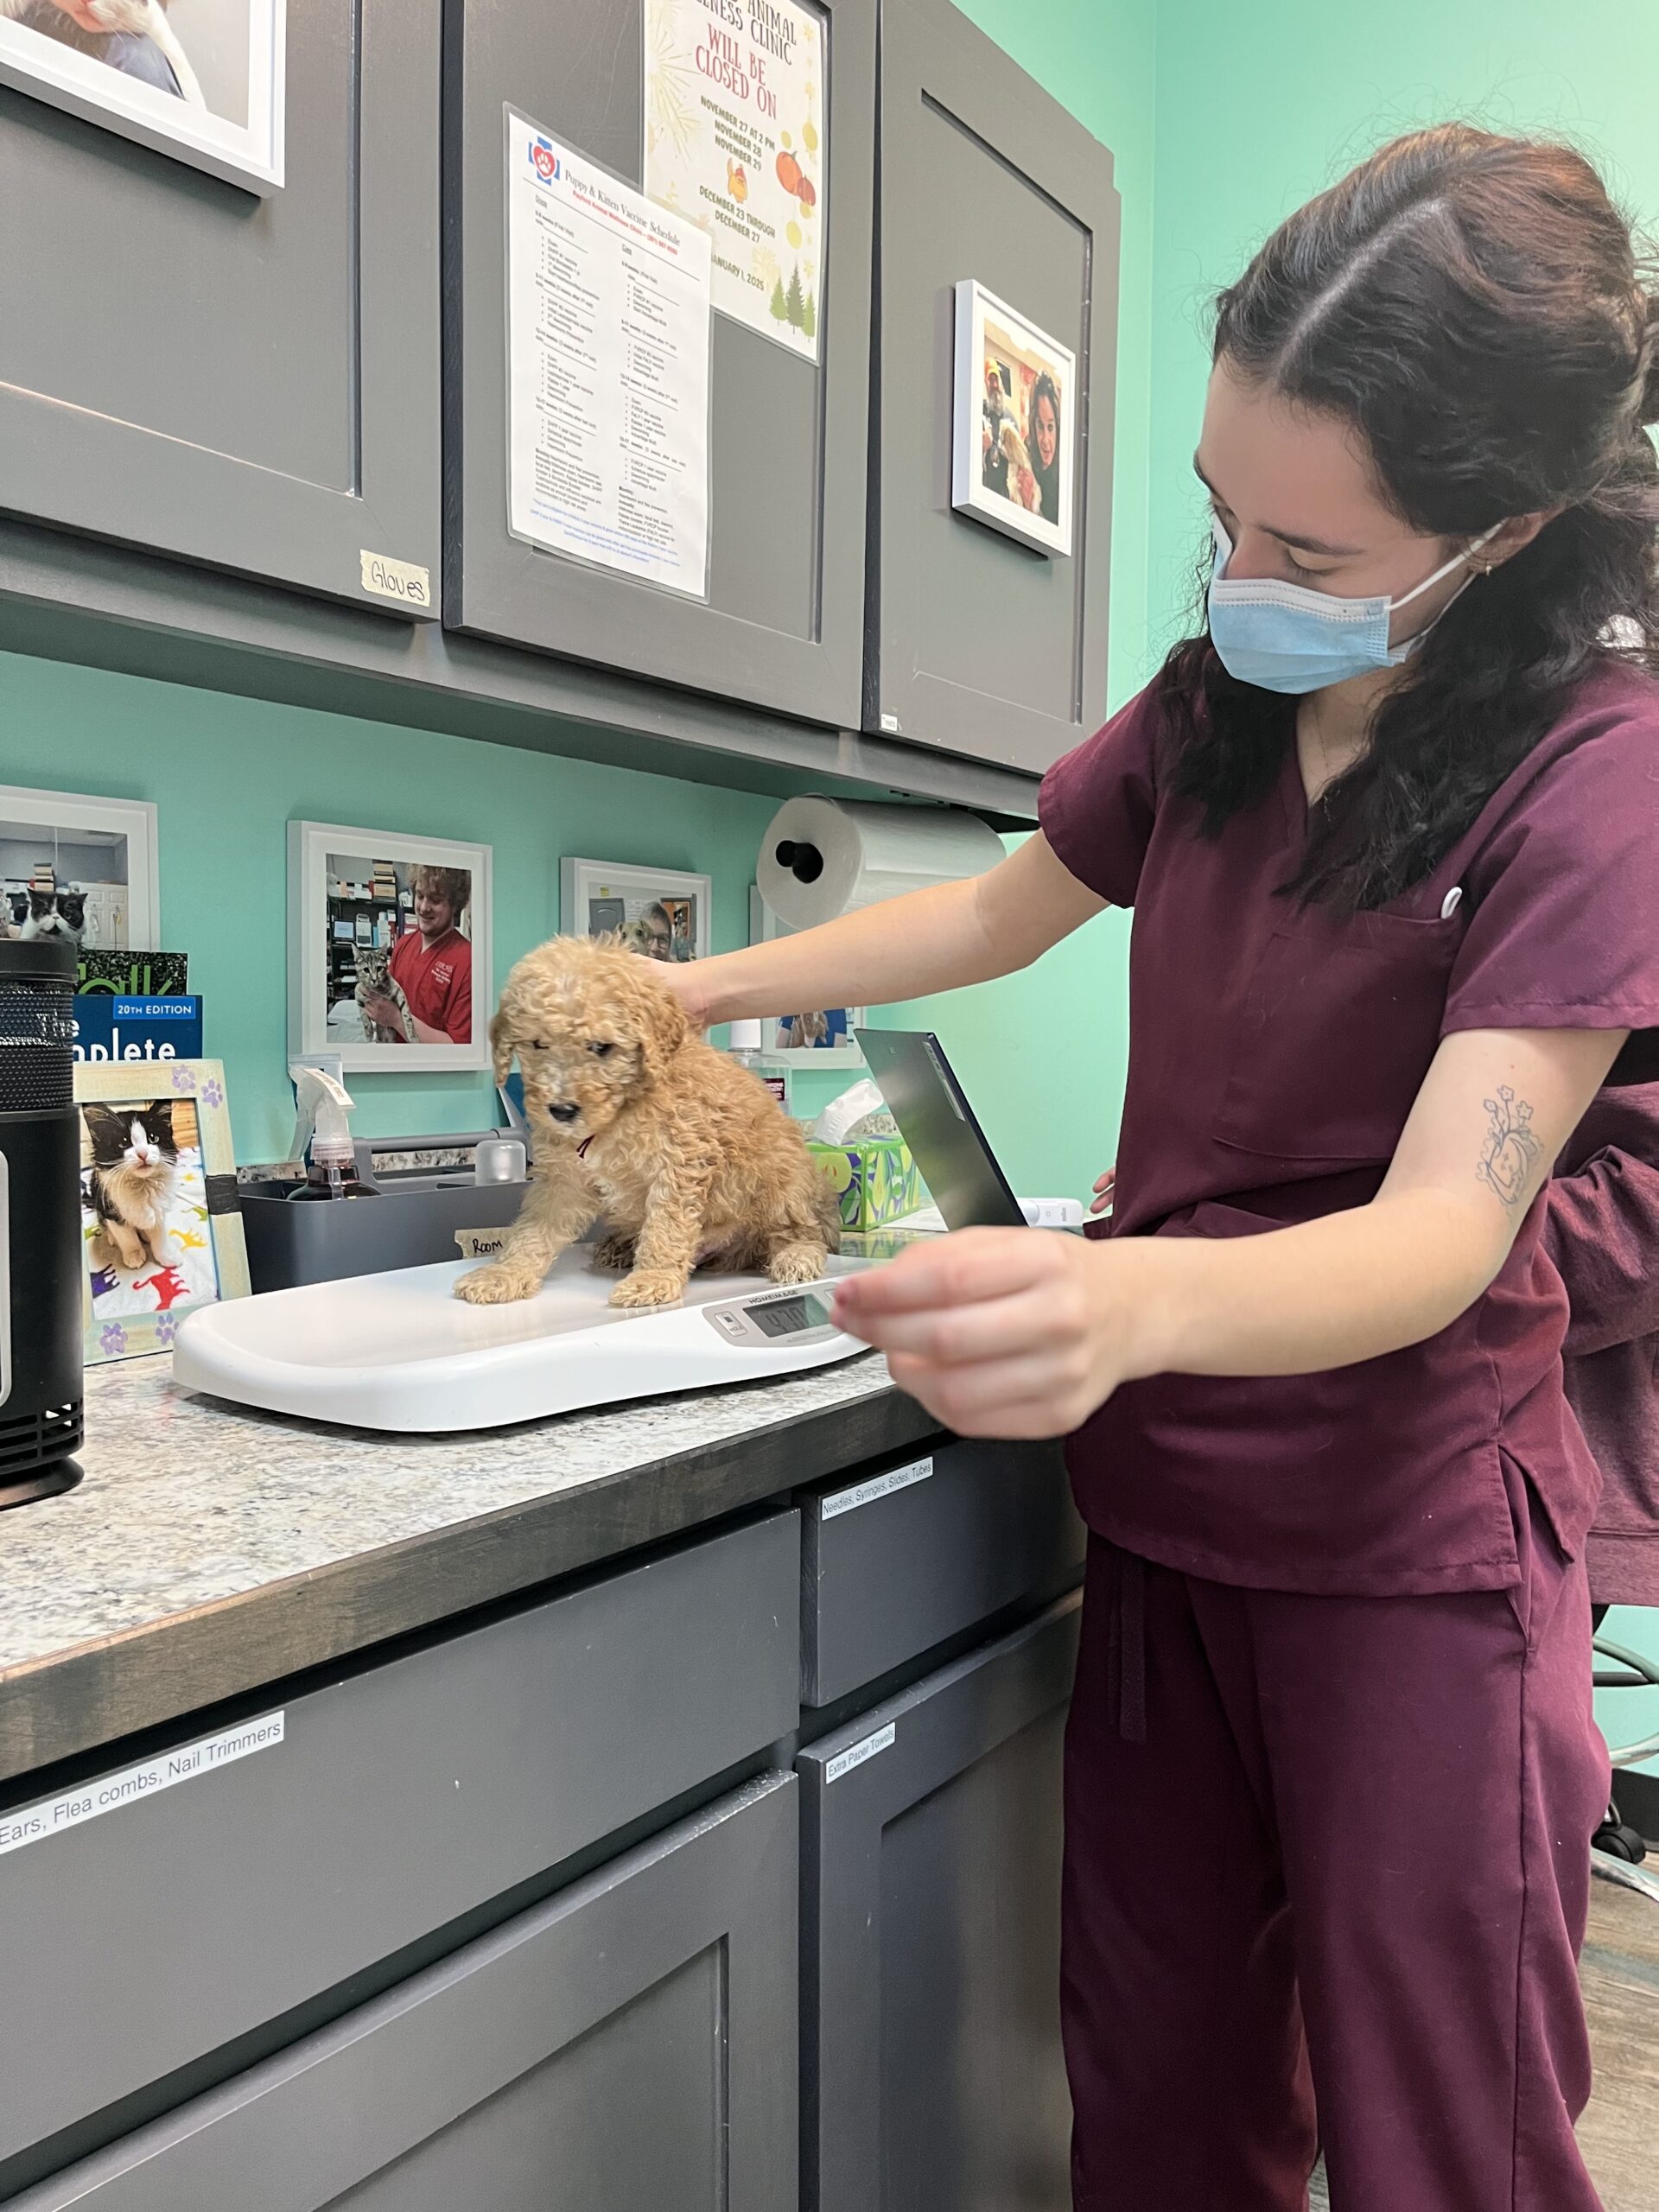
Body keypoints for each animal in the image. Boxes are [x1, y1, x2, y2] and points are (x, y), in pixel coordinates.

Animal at [84, 1101, 180, 1275]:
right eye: (124, 1142)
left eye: (153, 1138)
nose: (143, 1154)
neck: (142, 1184)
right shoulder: (110, 1210)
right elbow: (127, 1237)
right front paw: (134, 1256)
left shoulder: (159, 1209)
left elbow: (159, 1236)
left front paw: (167, 1256)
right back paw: (112, 1238)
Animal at [456, 935, 841, 1311]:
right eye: (538, 1044)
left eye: (602, 1047)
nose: (562, 1110)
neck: (620, 1111)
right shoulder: (563, 1179)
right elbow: (533, 1230)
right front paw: (504, 1273)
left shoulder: (679, 1164)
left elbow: (665, 1227)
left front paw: (652, 1279)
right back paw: (619, 1246)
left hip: (783, 1186)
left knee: (799, 1231)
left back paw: (796, 1256)